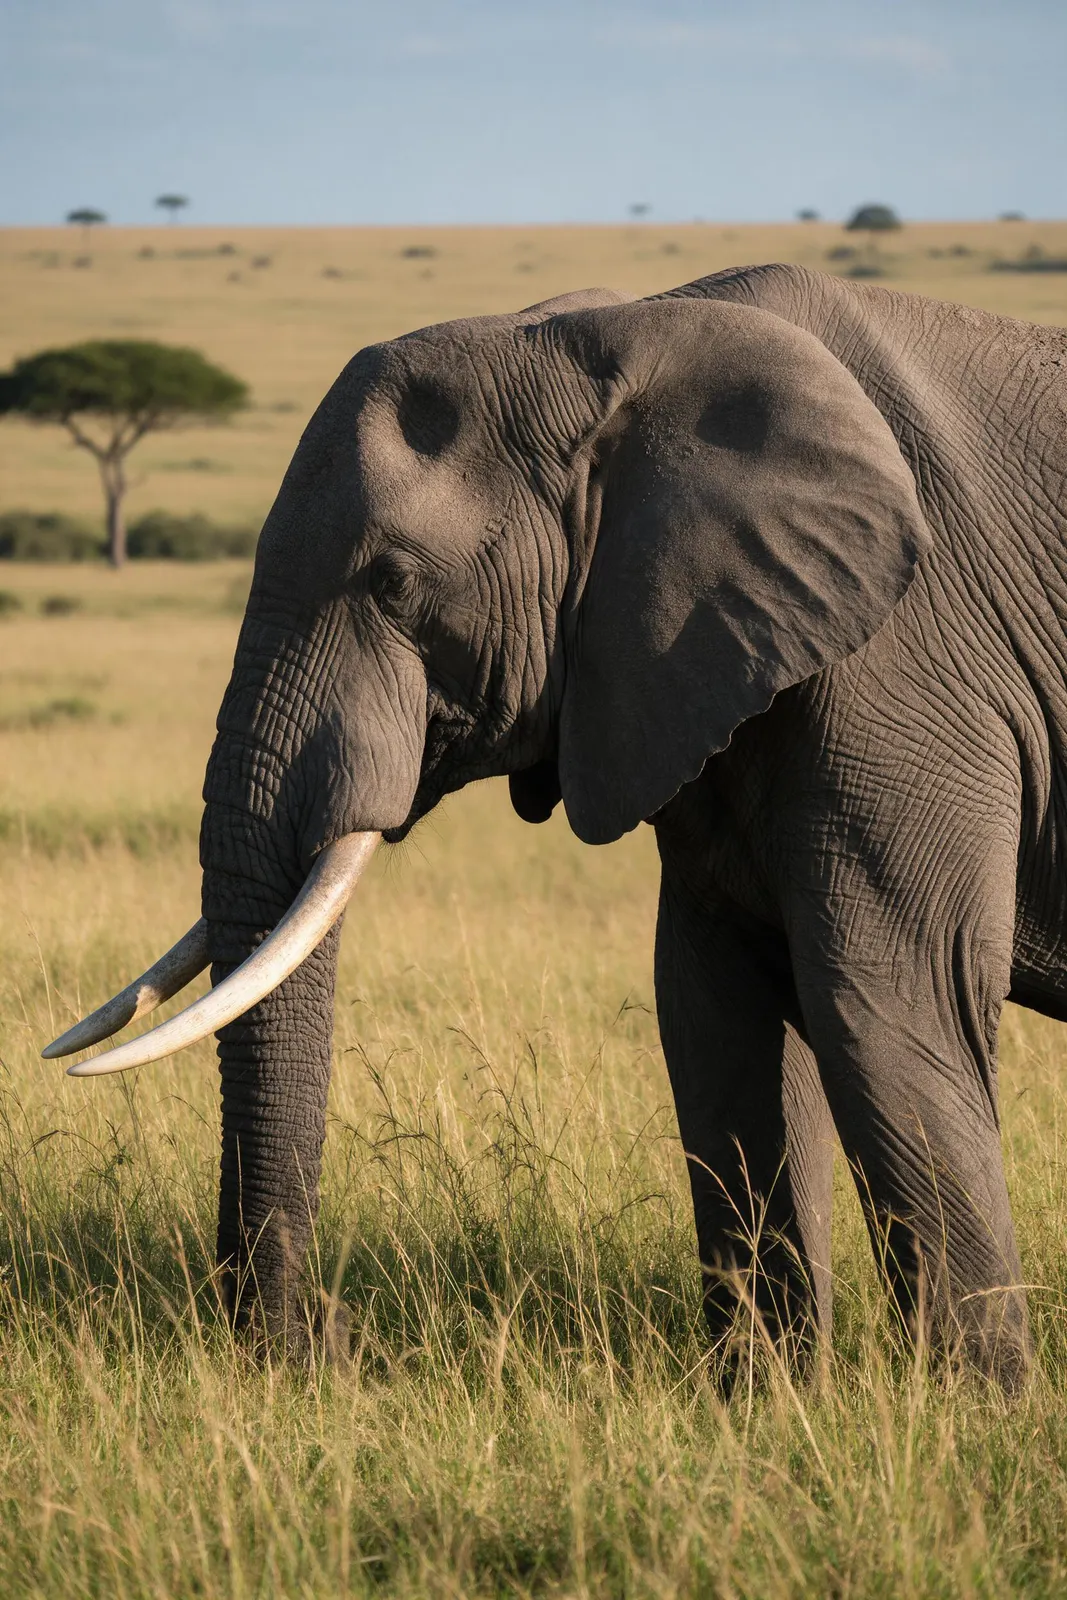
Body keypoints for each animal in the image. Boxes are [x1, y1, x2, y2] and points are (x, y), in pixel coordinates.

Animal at [45, 262, 1067, 1391]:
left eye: (393, 583)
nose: (325, 1337)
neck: (620, 336)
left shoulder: (905, 667)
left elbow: (888, 1005)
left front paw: (974, 1412)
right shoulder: (683, 669)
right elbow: (712, 1014)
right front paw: (764, 1404)